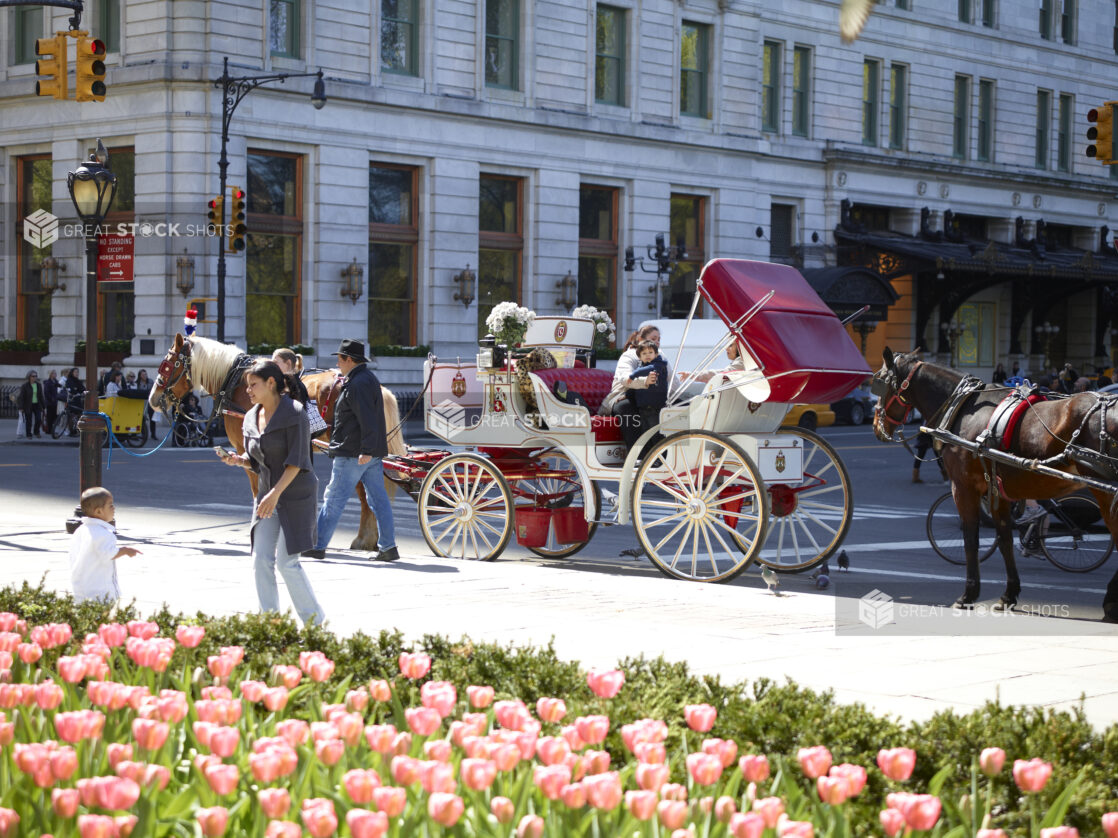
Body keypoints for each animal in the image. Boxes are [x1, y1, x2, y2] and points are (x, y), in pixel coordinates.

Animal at [148, 335, 406, 551]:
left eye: (168, 365)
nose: (152, 399)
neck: (236, 384)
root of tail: (378, 388)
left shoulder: (247, 448)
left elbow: (258, 490)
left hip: (350, 453)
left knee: (362, 492)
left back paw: (364, 539)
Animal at [872, 348, 1118, 625]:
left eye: (878, 381)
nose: (876, 425)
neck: (963, 407)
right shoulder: (998, 492)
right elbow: (1004, 540)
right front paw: (1009, 595)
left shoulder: (964, 488)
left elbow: (970, 539)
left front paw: (968, 595)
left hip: (1104, 492)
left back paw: (1110, 603)